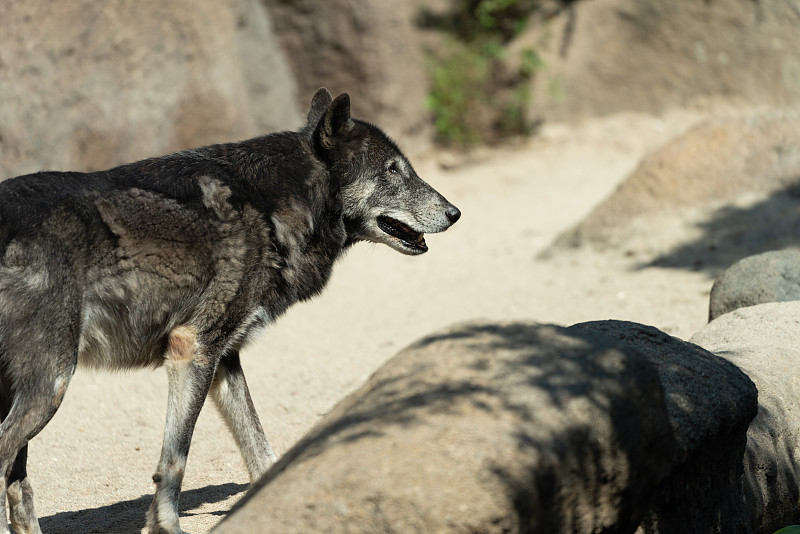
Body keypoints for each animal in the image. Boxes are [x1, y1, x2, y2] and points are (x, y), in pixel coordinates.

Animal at [0, 90, 460, 532]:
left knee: (19, 489)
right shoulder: (193, 349)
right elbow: (175, 461)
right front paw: (165, 527)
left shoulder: (223, 359)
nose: (455, 213)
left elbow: (260, 450)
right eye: (393, 170)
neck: (276, 204)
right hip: (52, 386)